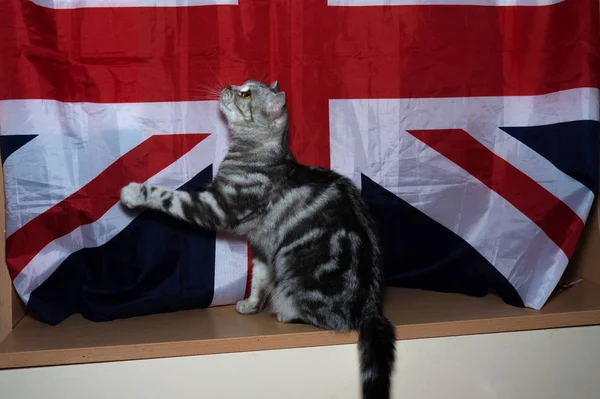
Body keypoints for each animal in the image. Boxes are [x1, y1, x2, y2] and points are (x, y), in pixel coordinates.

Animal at [119, 79, 396, 399]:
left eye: (246, 93)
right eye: (242, 86)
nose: (229, 86)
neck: (259, 154)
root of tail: (372, 309)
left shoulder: (216, 207)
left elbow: (168, 197)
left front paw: (134, 192)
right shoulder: (263, 246)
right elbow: (259, 281)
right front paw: (251, 306)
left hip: (294, 270)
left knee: (325, 318)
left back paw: (285, 312)